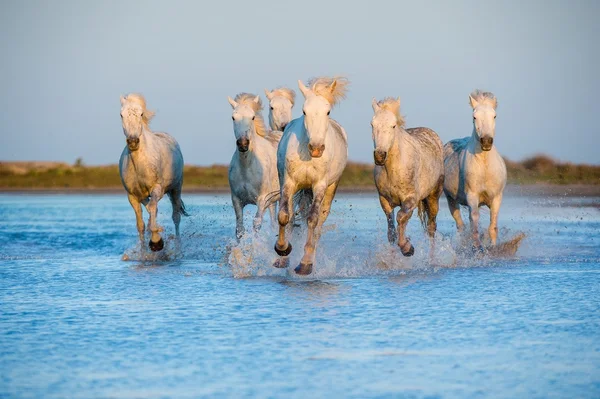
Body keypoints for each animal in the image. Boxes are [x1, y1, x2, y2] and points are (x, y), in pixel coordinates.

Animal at [119, 94, 188, 252]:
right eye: (121, 115)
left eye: (141, 114)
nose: (133, 142)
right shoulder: (132, 196)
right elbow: (141, 224)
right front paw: (145, 251)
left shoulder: (157, 189)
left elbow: (152, 210)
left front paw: (156, 241)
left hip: (176, 188)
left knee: (175, 216)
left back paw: (178, 245)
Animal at [227, 92, 282, 239]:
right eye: (233, 117)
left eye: (252, 117)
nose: (243, 144)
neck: (247, 167)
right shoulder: (237, 200)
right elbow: (240, 229)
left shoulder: (262, 200)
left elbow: (256, 224)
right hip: (273, 201)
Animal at [274, 76, 350, 276]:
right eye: (304, 111)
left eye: (327, 111)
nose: (316, 148)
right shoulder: (289, 183)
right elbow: (284, 216)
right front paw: (282, 249)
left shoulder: (320, 186)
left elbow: (313, 219)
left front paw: (305, 264)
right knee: (290, 217)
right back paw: (283, 259)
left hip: (330, 189)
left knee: (319, 224)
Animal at [370, 98, 446, 258]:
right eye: (372, 124)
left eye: (393, 125)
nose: (380, 155)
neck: (393, 169)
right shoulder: (384, 201)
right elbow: (391, 232)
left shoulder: (410, 199)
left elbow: (400, 217)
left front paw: (407, 248)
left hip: (433, 198)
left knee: (431, 228)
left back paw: (432, 259)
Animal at [446, 90, 506, 250]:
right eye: (474, 117)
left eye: (494, 116)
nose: (486, 141)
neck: (485, 166)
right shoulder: (472, 196)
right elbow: (474, 222)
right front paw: (477, 248)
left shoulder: (496, 198)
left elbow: (493, 226)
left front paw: (493, 248)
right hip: (451, 200)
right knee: (461, 225)